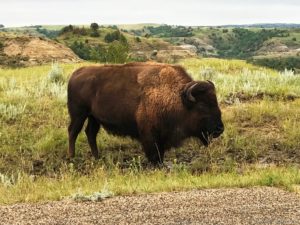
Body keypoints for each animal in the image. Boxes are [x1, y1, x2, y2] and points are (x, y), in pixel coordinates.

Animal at [68, 62, 223, 164]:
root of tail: (75, 74)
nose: (220, 129)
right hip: (79, 114)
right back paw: (72, 158)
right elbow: (154, 153)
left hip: (93, 117)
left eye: (215, 103)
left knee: (90, 133)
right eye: (202, 106)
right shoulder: (150, 134)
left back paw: (97, 158)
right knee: (73, 132)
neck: (177, 96)